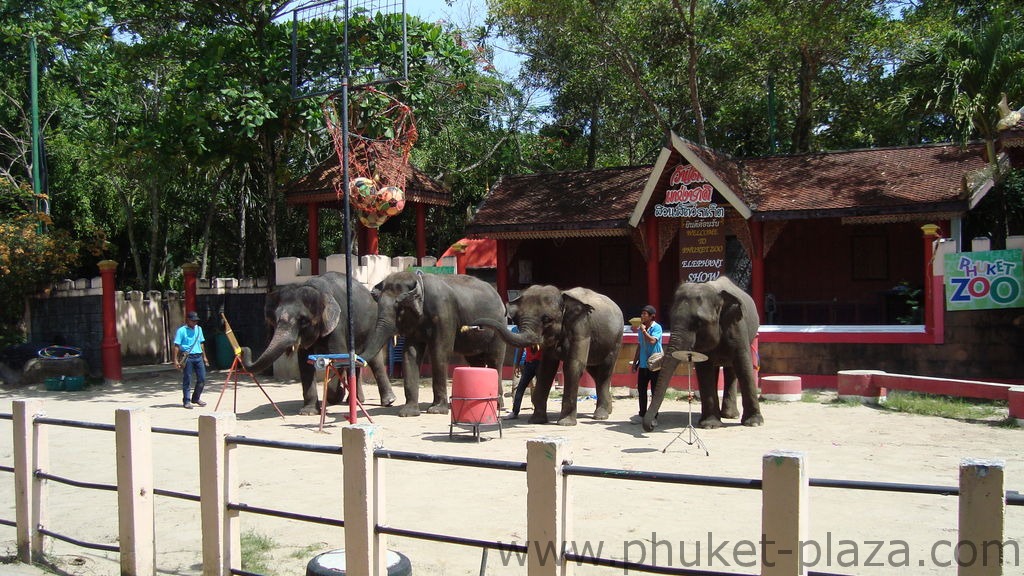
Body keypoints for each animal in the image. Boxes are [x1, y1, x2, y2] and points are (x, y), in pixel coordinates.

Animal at [243, 272, 395, 412]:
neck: (316, 290)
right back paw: (355, 401)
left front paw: (336, 394)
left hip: (371, 327)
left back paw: (388, 401)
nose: (245, 349)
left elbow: (338, 357)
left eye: (303, 320)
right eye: (275, 319)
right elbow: (304, 363)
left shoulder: (338, 324)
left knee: (375, 361)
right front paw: (308, 412)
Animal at [358, 270, 509, 414]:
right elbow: (410, 354)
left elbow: (439, 352)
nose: (357, 359)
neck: (418, 281)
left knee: (495, 360)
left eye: (399, 308)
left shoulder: (444, 313)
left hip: (499, 328)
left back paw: (498, 405)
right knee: (475, 360)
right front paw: (408, 412)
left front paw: (436, 410)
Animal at [471, 284, 622, 424]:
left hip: (616, 340)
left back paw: (601, 415)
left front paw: (565, 423)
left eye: (547, 319)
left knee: (604, 371)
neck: (562, 294)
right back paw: (608, 409)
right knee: (594, 370)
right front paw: (536, 420)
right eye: (517, 319)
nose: (476, 326)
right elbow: (546, 369)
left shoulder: (581, 327)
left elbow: (573, 366)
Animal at [638, 274, 761, 430]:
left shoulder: (737, 326)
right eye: (670, 319)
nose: (652, 425)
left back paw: (730, 415)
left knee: (732, 368)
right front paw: (710, 425)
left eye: (698, 322)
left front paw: (754, 423)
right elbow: (704, 368)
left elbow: (743, 364)